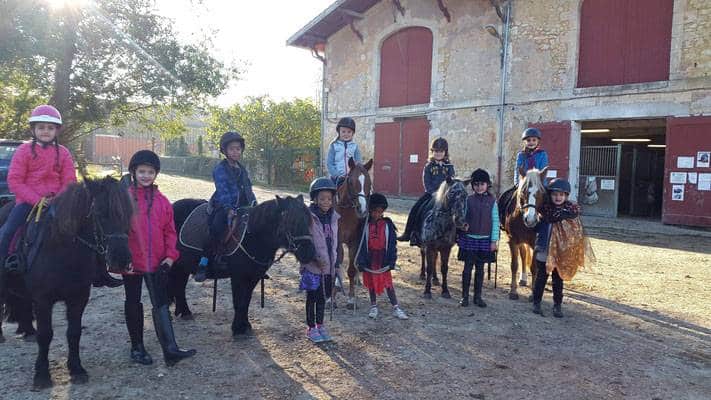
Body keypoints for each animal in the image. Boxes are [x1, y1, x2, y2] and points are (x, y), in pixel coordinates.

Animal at [15, 177, 134, 390]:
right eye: (99, 213)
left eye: (128, 214)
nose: (121, 260)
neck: (61, 249)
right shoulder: (43, 300)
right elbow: (45, 335)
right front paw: (42, 375)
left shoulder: (78, 297)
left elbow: (74, 332)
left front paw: (77, 369)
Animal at [170, 197, 314, 338]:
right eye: (292, 223)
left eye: (308, 222)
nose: (309, 253)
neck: (252, 237)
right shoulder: (238, 276)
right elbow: (239, 301)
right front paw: (238, 329)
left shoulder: (254, 277)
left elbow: (246, 300)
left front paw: (245, 325)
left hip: (182, 267)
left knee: (179, 286)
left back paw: (184, 312)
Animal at [336, 158, 376, 308]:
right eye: (351, 182)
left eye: (369, 183)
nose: (362, 209)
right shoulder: (337, 240)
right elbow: (337, 263)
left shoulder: (354, 241)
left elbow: (351, 269)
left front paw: (351, 299)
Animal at [498, 168, 548, 300]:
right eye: (523, 193)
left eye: (541, 193)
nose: (530, 220)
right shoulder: (513, 240)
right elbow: (514, 265)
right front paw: (513, 291)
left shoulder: (535, 243)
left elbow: (534, 267)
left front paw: (533, 293)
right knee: (524, 255)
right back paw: (523, 279)